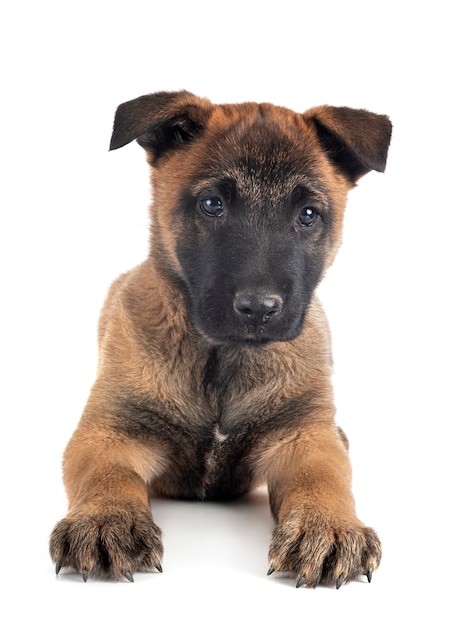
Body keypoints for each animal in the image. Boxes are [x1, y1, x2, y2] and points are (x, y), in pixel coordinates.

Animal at [48, 89, 390, 584]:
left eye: (308, 214)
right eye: (212, 204)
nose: (259, 309)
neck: (221, 358)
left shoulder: (304, 435)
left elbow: (324, 477)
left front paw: (327, 526)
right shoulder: (108, 430)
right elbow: (106, 474)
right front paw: (104, 518)